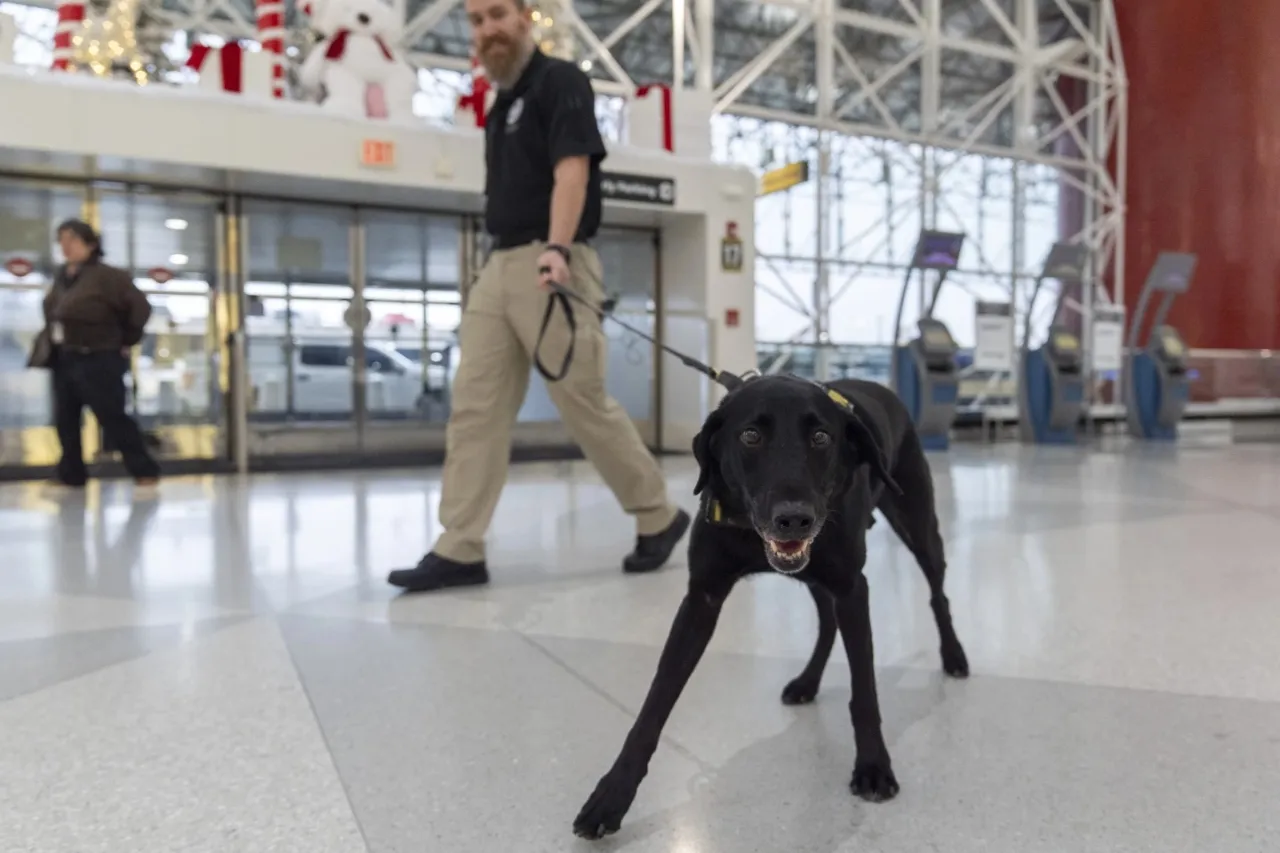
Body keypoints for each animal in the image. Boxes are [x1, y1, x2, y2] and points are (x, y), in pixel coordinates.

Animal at [573, 371, 967, 835]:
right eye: (750, 435)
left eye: (821, 436)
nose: (794, 518)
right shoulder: (701, 598)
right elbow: (655, 704)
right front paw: (612, 796)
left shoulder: (853, 588)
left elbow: (865, 692)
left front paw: (873, 766)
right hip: (815, 575)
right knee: (827, 622)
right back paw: (808, 682)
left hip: (917, 524)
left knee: (938, 594)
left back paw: (954, 655)